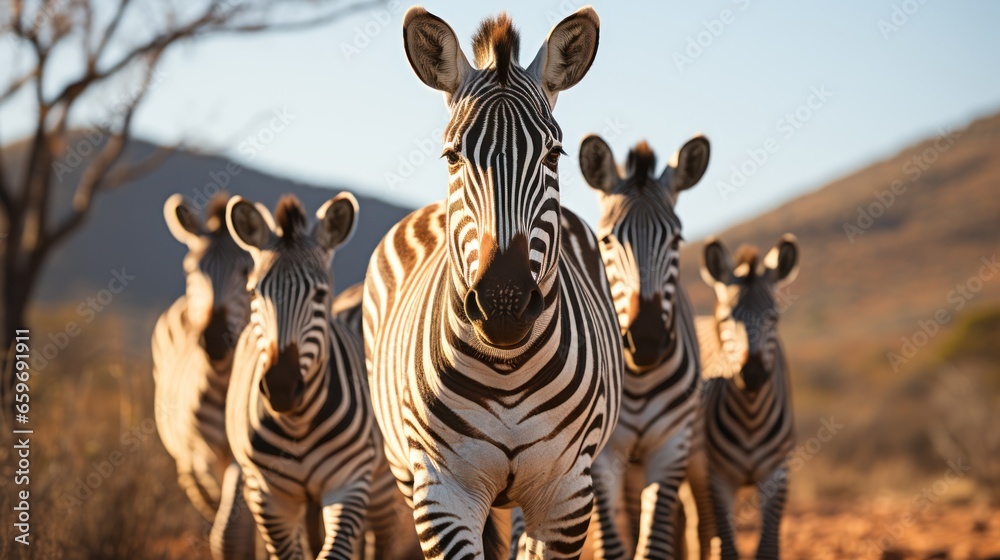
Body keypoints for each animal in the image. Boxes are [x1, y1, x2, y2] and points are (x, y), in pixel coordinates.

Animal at [221, 193, 381, 559]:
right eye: (254, 293)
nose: (281, 387)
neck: (298, 422)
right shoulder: (268, 496)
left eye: (319, 295)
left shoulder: (350, 483)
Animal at [362, 7, 622, 560]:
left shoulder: (567, 494)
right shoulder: (441, 490)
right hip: (404, 468)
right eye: (452, 157)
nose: (504, 303)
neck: (507, 372)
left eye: (554, 156)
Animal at [578, 135, 710, 559]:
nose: (647, 341)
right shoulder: (599, 453)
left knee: (701, 519)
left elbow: (653, 544)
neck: (637, 377)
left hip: (696, 452)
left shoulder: (671, 447)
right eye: (606, 240)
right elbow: (611, 545)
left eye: (677, 239)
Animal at [686, 235, 799, 560]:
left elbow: (768, 548)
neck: (751, 416)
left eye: (773, 317)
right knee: (699, 526)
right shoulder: (717, 477)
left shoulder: (778, 474)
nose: (752, 375)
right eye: (726, 318)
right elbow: (727, 548)